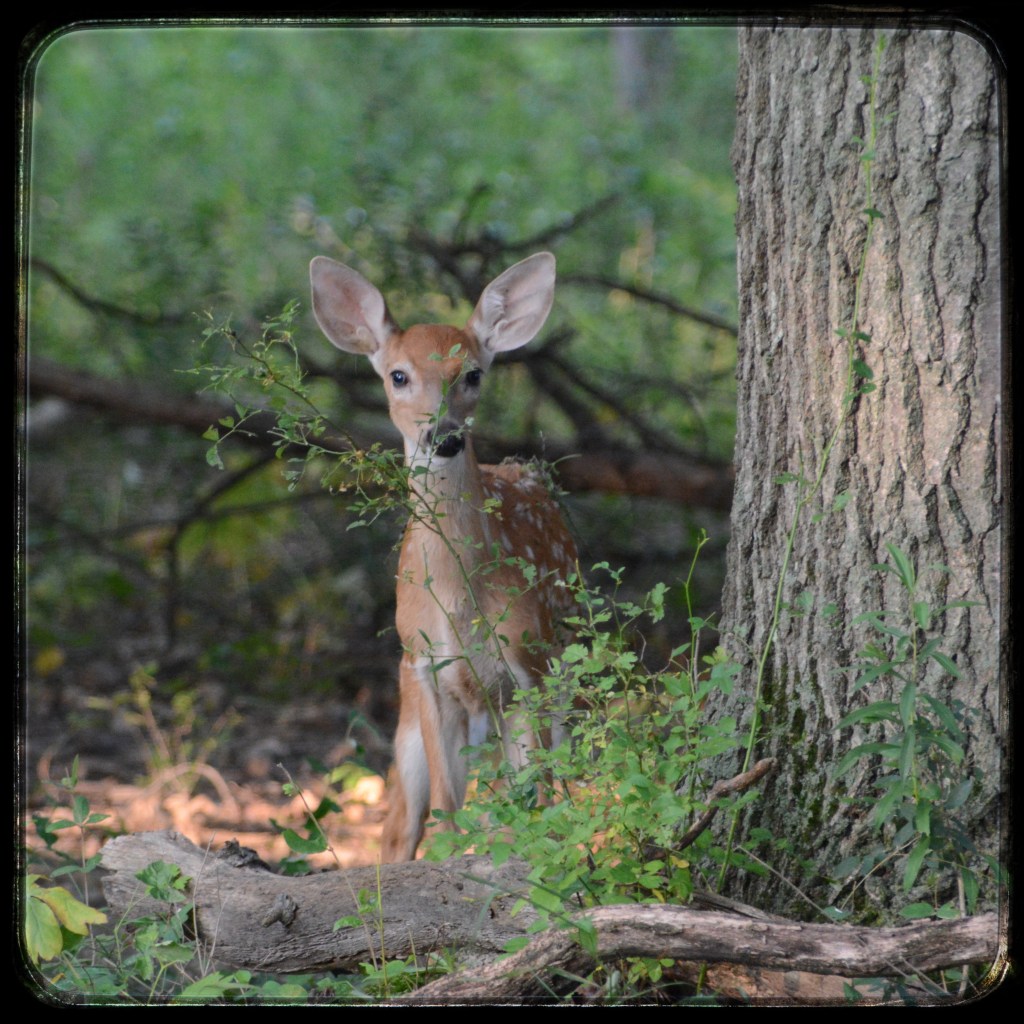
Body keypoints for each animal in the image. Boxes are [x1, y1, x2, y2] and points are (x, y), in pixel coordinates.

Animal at [309, 252, 578, 862]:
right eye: (398, 375)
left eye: (473, 374)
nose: (446, 436)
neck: (459, 603)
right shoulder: (427, 668)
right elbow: (448, 809)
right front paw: (456, 864)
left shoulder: (525, 665)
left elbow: (533, 806)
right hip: (408, 701)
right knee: (401, 821)